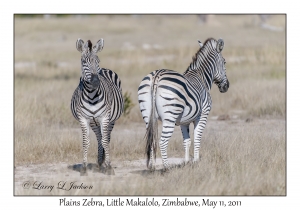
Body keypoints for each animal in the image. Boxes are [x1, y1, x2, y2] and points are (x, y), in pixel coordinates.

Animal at [71, 38, 123, 176]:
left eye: (97, 61)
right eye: (84, 62)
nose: (95, 81)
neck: (92, 95)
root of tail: (104, 69)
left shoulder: (104, 117)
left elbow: (105, 141)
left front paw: (109, 167)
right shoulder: (84, 118)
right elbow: (86, 142)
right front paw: (84, 168)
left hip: (111, 119)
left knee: (106, 137)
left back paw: (105, 161)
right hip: (93, 122)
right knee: (99, 137)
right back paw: (100, 161)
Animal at [138, 37, 230, 171]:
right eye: (224, 62)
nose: (226, 86)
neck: (201, 77)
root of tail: (157, 76)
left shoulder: (184, 121)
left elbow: (187, 141)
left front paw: (187, 162)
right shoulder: (203, 115)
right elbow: (197, 137)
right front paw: (196, 161)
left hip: (147, 115)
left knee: (152, 139)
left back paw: (152, 167)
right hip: (170, 116)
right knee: (162, 142)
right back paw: (166, 168)